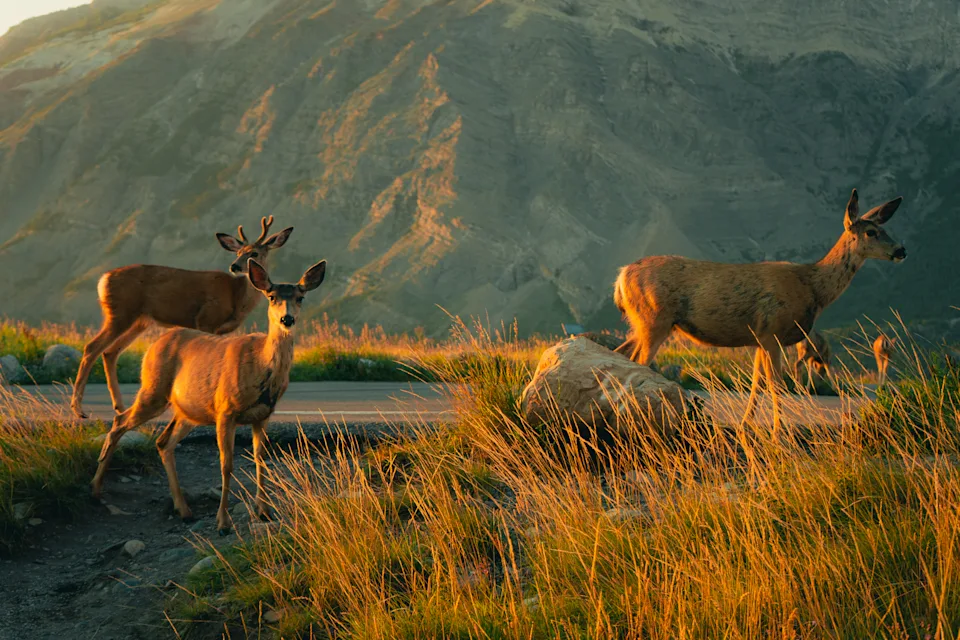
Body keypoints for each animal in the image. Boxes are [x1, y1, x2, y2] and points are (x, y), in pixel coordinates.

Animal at [71, 216, 293, 420]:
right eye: (238, 253)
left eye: (253, 253)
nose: (235, 266)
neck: (236, 297)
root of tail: (103, 280)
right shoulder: (206, 319)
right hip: (120, 313)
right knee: (91, 348)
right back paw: (79, 410)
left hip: (139, 321)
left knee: (109, 352)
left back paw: (120, 407)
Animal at [91, 258, 327, 535]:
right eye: (271, 296)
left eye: (300, 297)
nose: (286, 319)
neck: (261, 368)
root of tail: (153, 345)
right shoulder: (225, 410)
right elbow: (227, 465)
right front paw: (223, 522)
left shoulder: (263, 415)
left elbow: (261, 458)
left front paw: (265, 511)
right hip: (153, 389)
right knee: (120, 422)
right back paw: (95, 489)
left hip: (188, 411)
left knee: (163, 442)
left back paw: (184, 510)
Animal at [613, 189, 906, 430]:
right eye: (871, 232)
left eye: (885, 229)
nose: (901, 250)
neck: (813, 287)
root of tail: (621, 276)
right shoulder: (772, 331)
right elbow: (776, 383)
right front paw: (779, 432)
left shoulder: (759, 336)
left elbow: (756, 381)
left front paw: (747, 426)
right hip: (654, 319)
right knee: (638, 363)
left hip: (642, 323)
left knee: (622, 354)